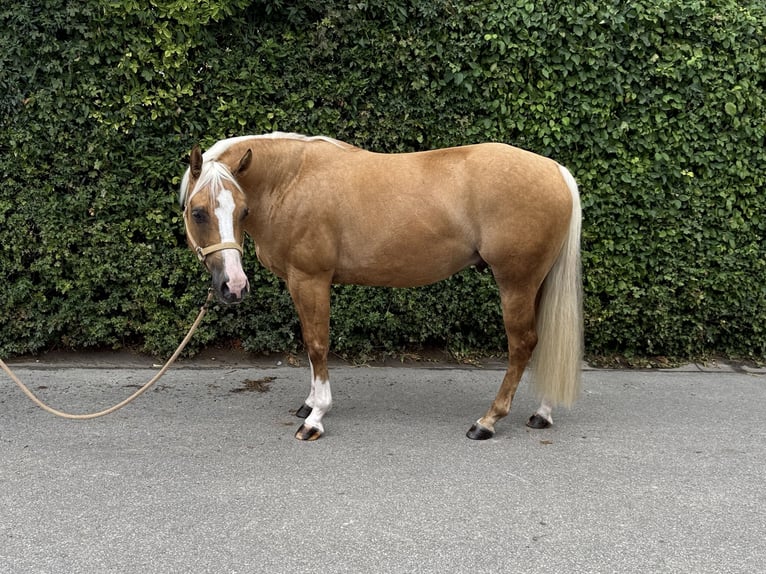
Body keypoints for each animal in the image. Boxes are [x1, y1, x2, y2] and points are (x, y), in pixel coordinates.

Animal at [179, 132, 583, 441]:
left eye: (242, 211)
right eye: (198, 212)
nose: (234, 287)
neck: (292, 180)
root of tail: (555, 170)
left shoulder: (310, 279)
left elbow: (316, 344)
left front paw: (316, 417)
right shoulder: (300, 283)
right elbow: (309, 345)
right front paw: (308, 404)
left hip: (516, 282)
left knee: (522, 344)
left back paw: (487, 421)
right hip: (536, 282)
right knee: (542, 339)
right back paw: (542, 413)